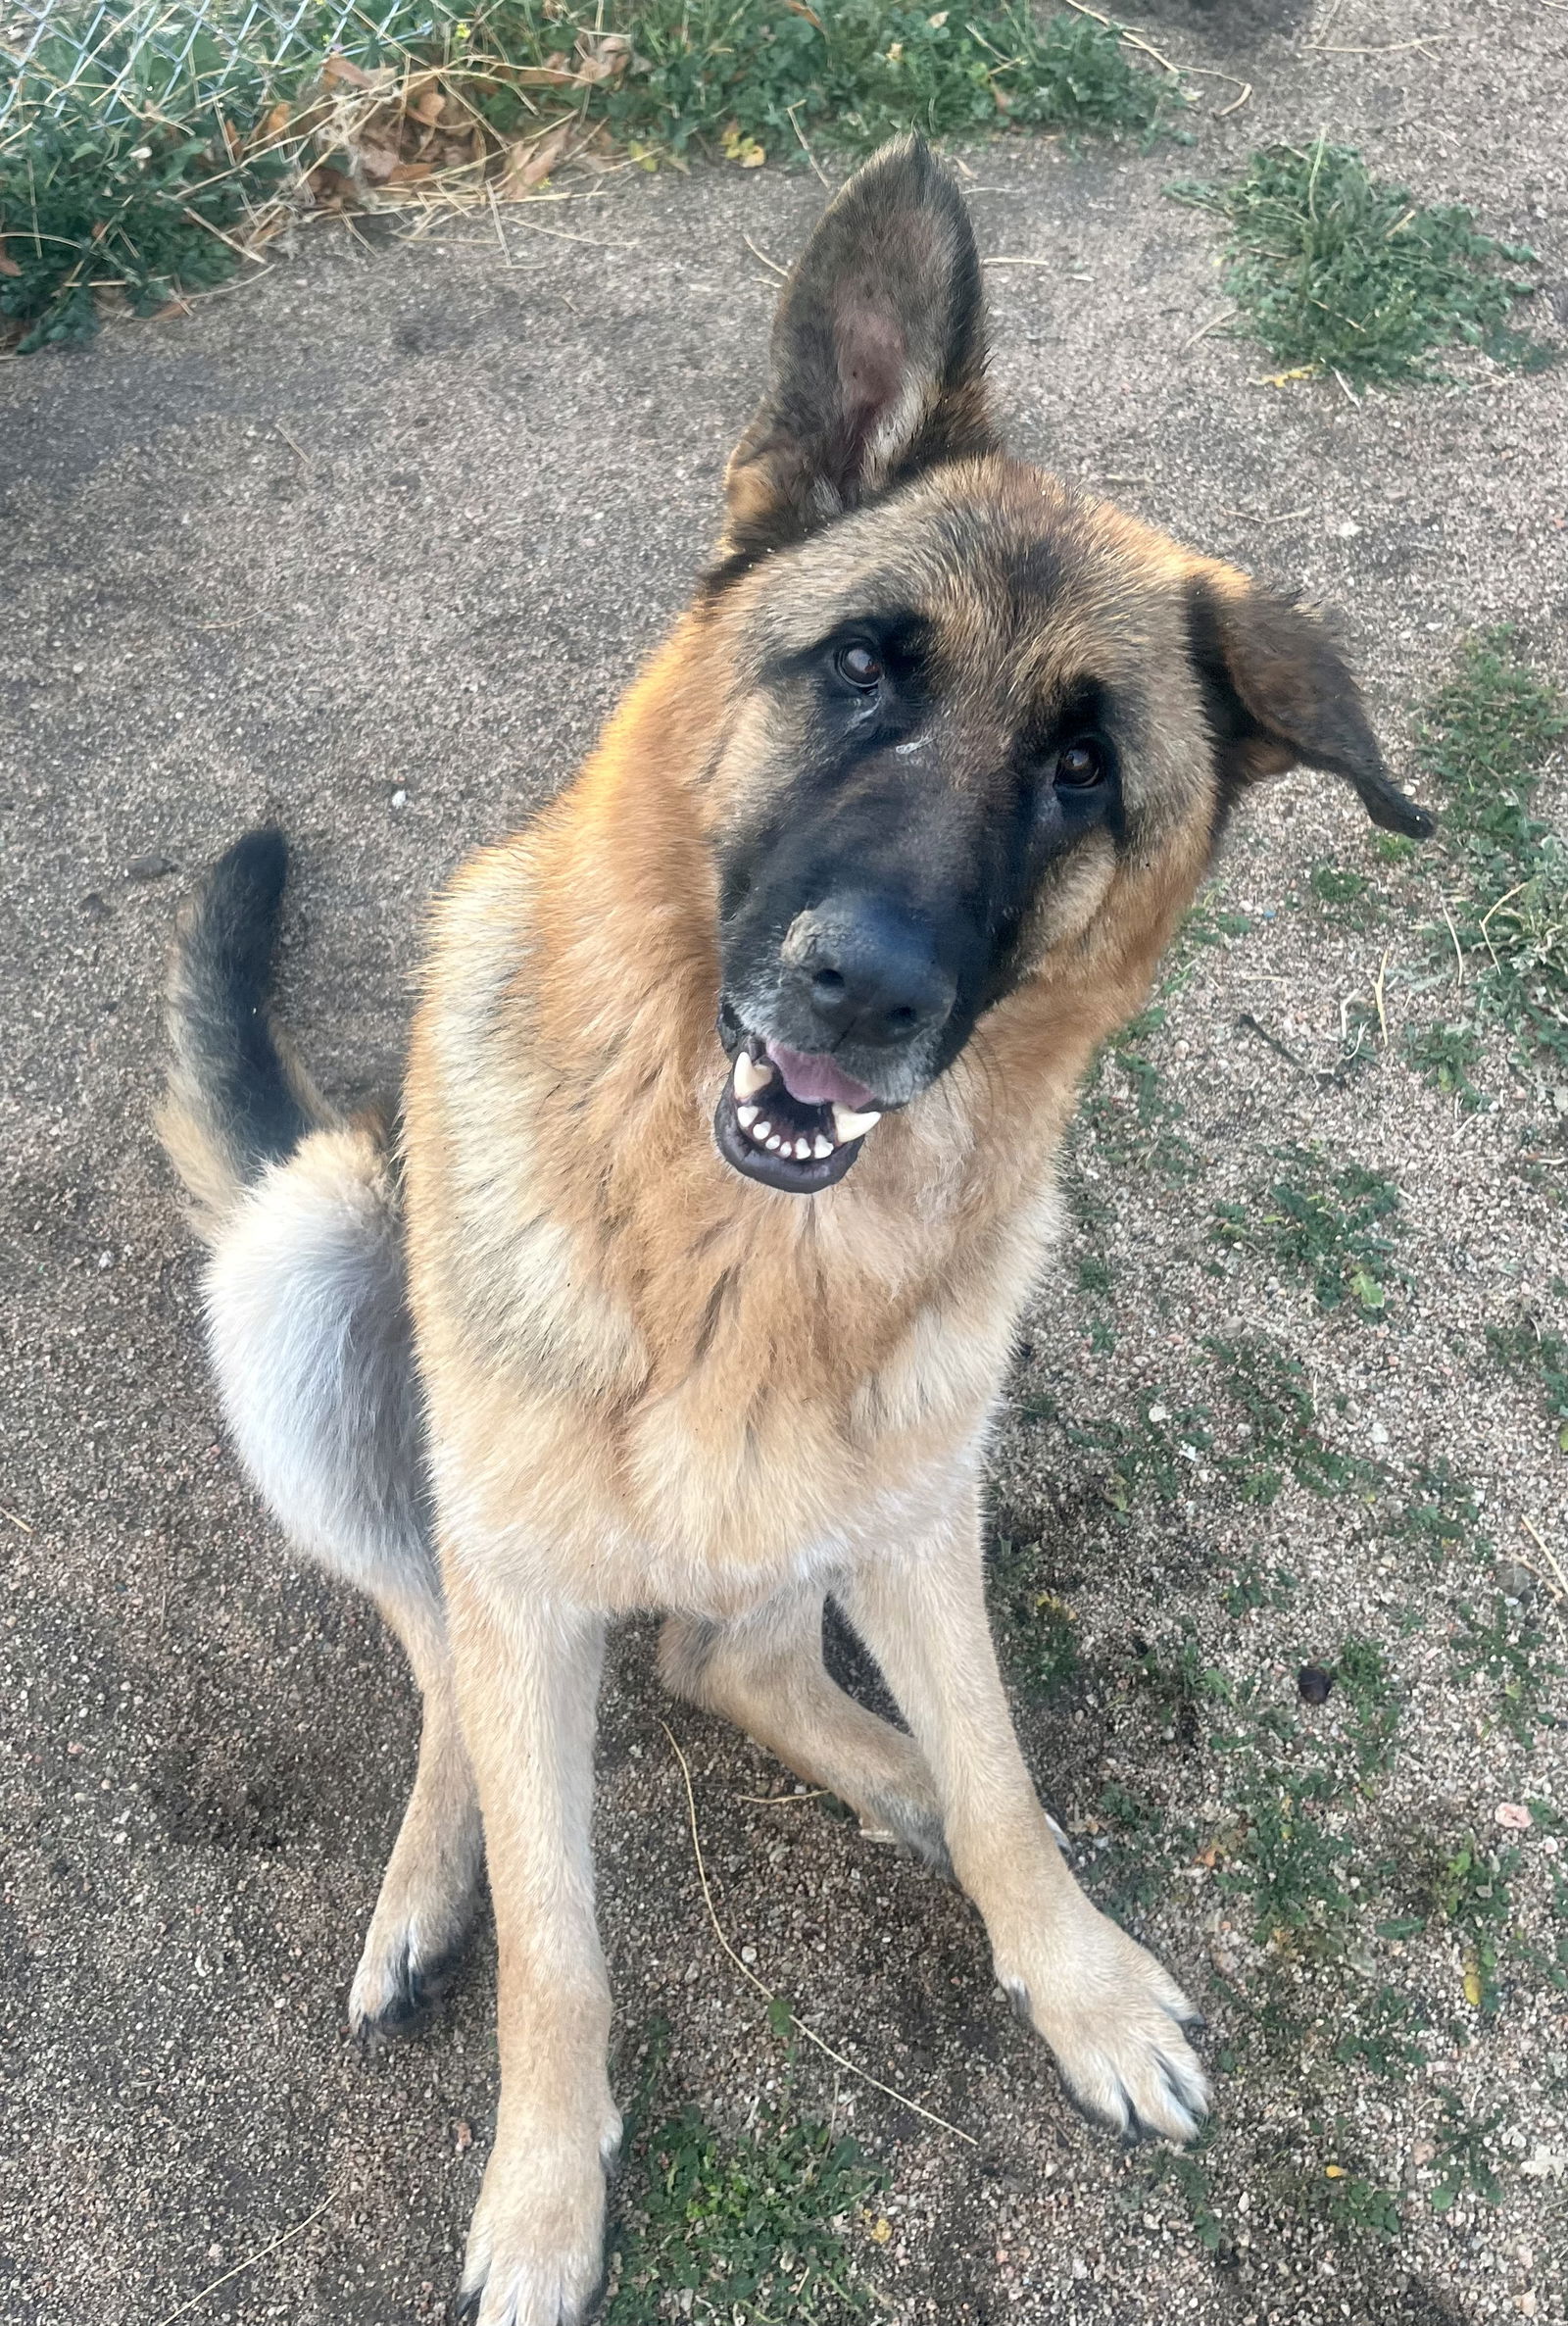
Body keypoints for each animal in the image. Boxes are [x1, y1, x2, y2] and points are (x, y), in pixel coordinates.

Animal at [161, 135, 1433, 2316]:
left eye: (1082, 767)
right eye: (860, 668)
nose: (859, 992)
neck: (733, 1254)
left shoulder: (919, 1511)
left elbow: (1006, 1770)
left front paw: (1074, 1973)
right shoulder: (524, 1576)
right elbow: (563, 1949)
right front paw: (542, 2196)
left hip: (854, 1480)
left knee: (724, 1658)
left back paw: (890, 1775)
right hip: (320, 1258)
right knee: (444, 1647)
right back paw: (433, 1886)